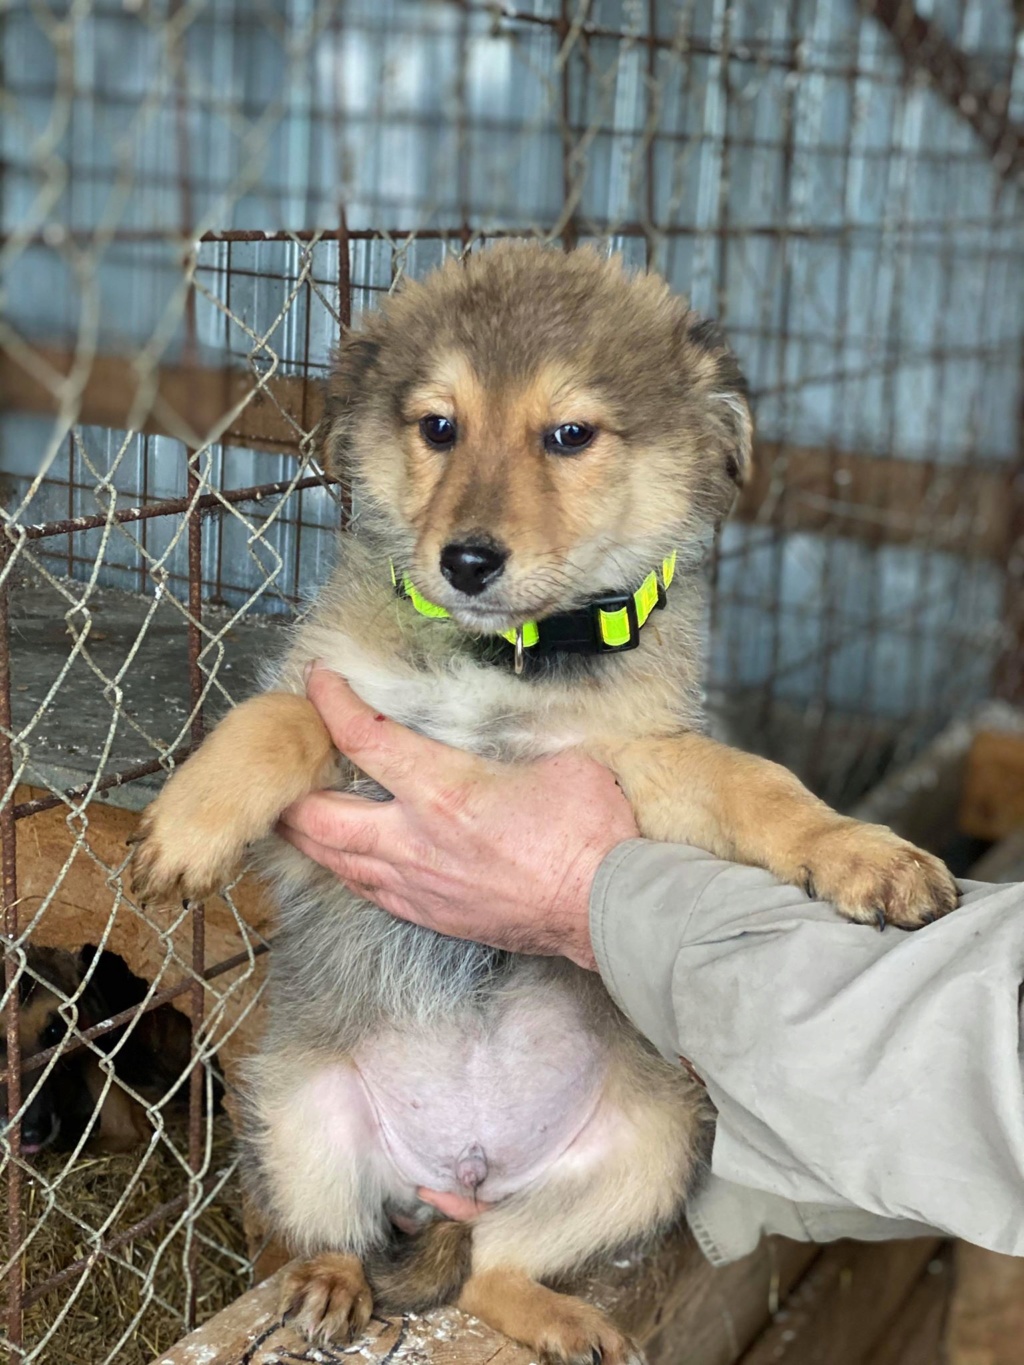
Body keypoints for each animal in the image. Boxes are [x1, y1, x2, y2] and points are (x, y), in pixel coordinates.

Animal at [132, 248, 961, 1365]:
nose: (466, 562)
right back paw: (324, 1288)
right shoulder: (335, 787)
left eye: (570, 435)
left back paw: (559, 1318)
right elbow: (279, 715)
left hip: (652, 1146)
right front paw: (187, 826)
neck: (506, 664)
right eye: (438, 425)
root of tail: (459, 1175)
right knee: (338, 1236)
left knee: (493, 1269)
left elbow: (758, 785)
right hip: (294, 1110)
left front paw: (862, 853)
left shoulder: (645, 764)